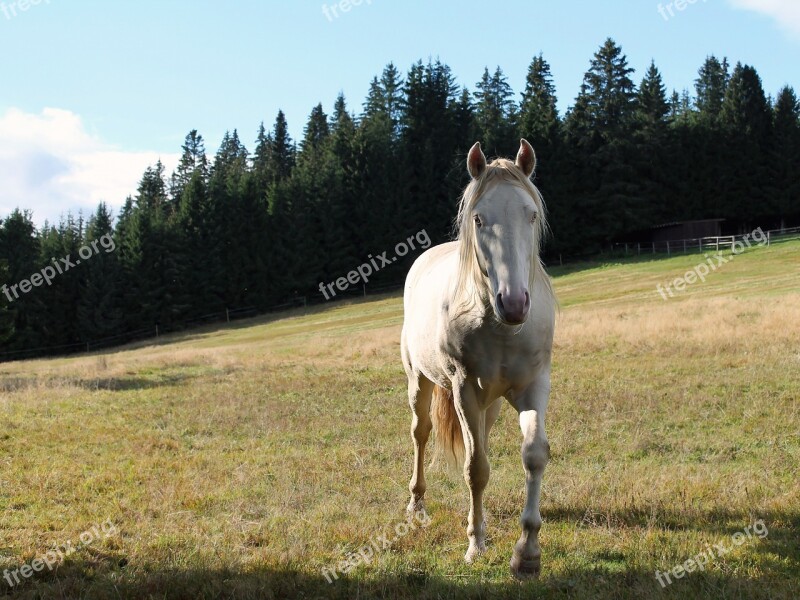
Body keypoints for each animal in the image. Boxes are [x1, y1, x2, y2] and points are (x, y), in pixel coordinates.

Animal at [400, 139, 556, 576]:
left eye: (531, 214)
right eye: (479, 219)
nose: (515, 303)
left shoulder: (534, 387)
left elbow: (534, 455)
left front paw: (527, 552)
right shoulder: (463, 389)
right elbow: (475, 469)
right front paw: (476, 544)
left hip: (491, 402)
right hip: (419, 382)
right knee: (421, 434)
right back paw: (417, 506)